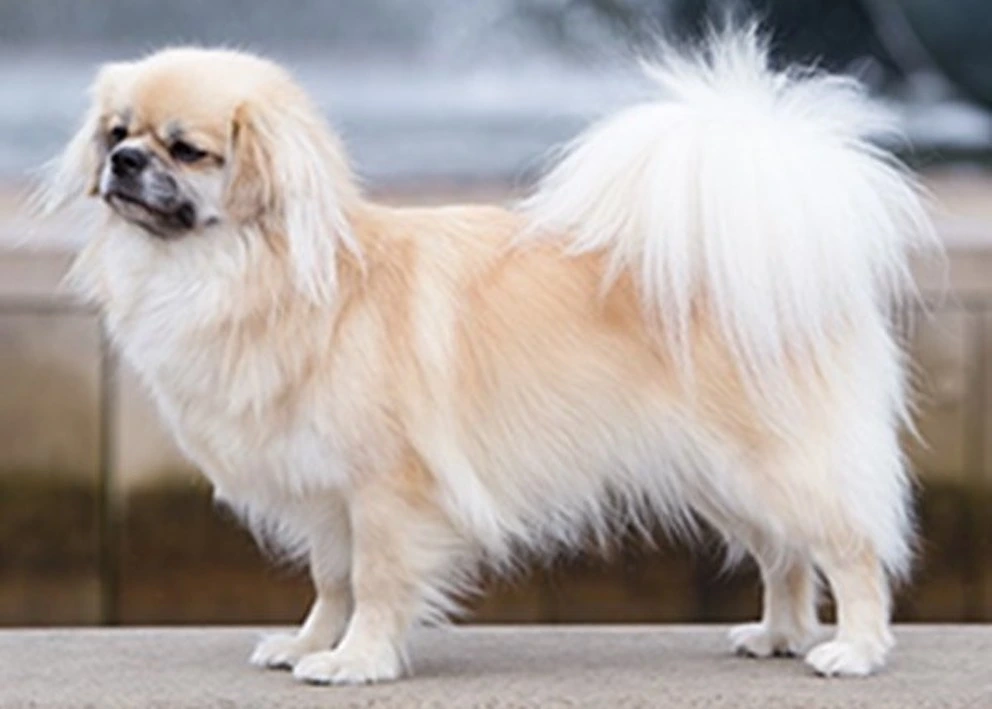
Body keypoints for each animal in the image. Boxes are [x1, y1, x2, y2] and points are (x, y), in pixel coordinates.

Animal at [36, 30, 936, 684]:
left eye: (186, 150)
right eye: (116, 133)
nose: (123, 161)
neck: (249, 274)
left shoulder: (385, 493)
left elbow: (378, 584)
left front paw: (357, 661)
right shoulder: (328, 497)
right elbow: (333, 583)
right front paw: (309, 644)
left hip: (775, 463)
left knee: (850, 549)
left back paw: (854, 650)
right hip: (726, 476)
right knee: (785, 555)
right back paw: (780, 634)